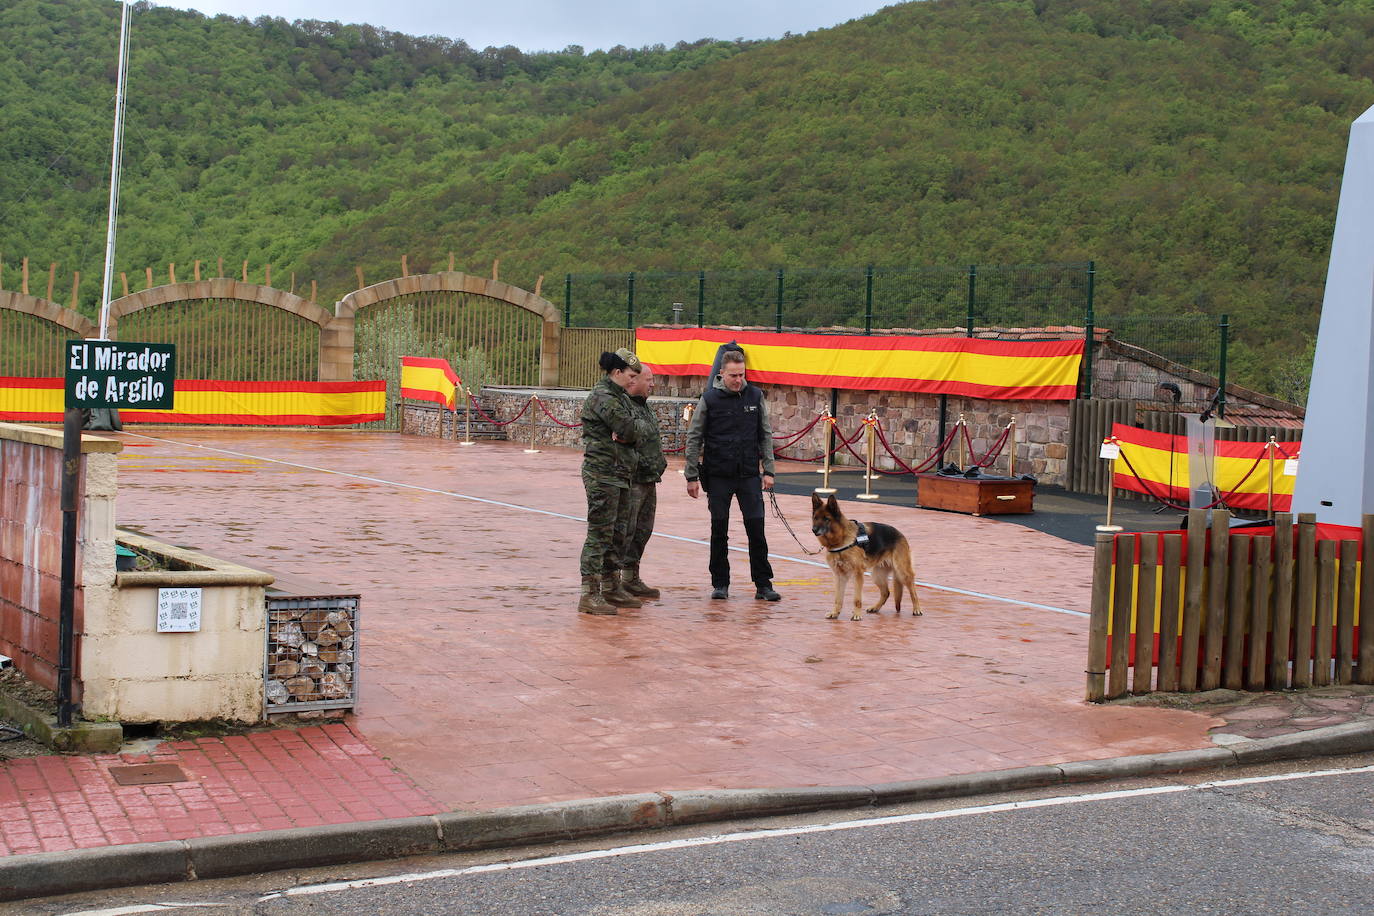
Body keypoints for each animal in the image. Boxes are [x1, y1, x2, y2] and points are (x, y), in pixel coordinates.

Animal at [802, 494, 923, 623]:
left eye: (826, 519)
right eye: (816, 518)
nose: (814, 530)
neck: (840, 539)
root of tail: (900, 533)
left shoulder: (857, 574)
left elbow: (857, 598)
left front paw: (856, 615)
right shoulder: (839, 576)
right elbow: (838, 598)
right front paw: (835, 613)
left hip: (902, 572)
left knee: (913, 591)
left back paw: (917, 609)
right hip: (877, 576)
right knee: (886, 592)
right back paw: (875, 607)